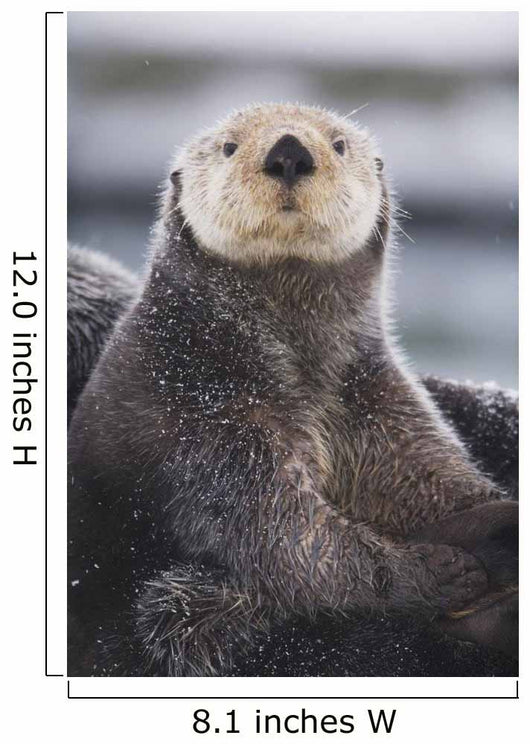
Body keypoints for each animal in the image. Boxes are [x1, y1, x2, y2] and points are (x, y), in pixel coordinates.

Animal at [68, 103, 517, 676]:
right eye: (230, 147)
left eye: (339, 144)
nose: (289, 152)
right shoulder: (209, 419)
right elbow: (287, 542)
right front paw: (435, 570)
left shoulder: (379, 407)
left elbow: (437, 481)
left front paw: (493, 519)